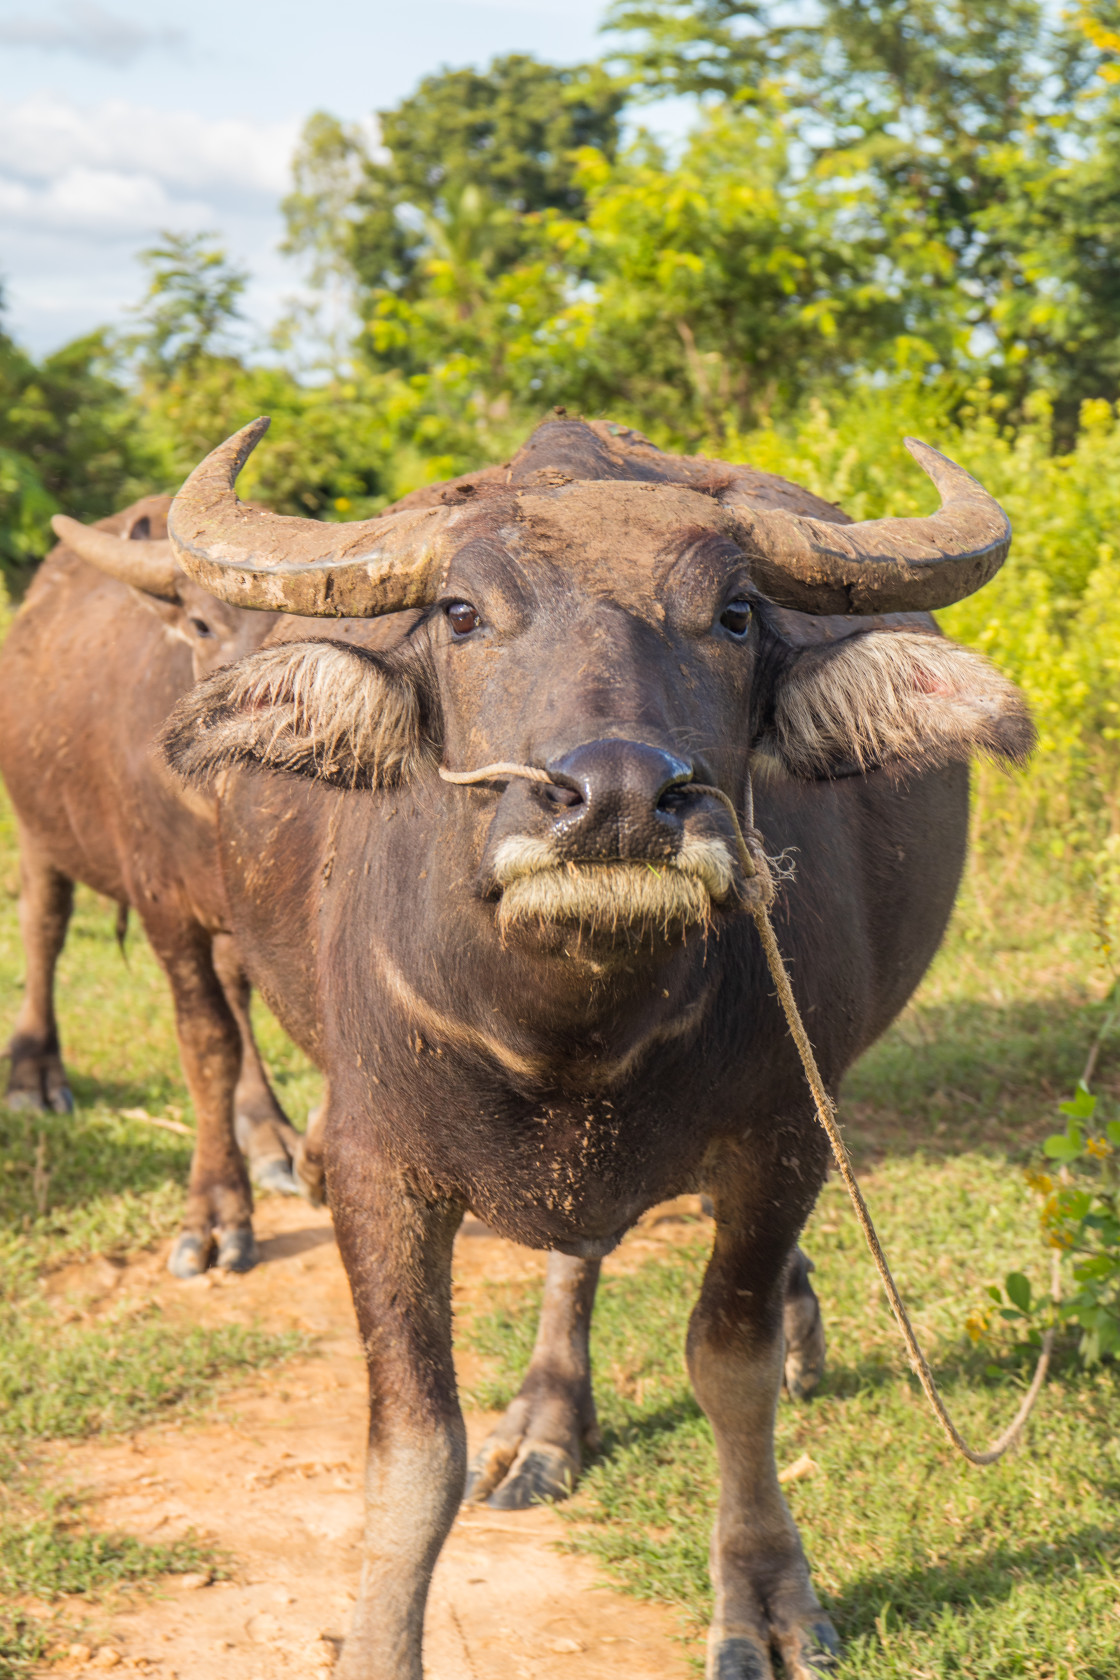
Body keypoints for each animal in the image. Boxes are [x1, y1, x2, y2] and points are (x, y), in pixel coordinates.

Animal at [0, 493, 307, 1270]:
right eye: (202, 624)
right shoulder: (163, 907)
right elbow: (206, 1043)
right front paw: (216, 1213)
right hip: (37, 828)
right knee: (42, 927)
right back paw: (34, 1074)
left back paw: (266, 1130)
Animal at [159, 416, 1034, 1680]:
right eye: (461, 613)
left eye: (734, 615)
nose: (617, 798)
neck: (568, 1027)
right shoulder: (370, 1165)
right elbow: (415, 1447)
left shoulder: (779, 1144)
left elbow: (730, 1369)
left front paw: (765, 1596)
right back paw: (546, 1425)